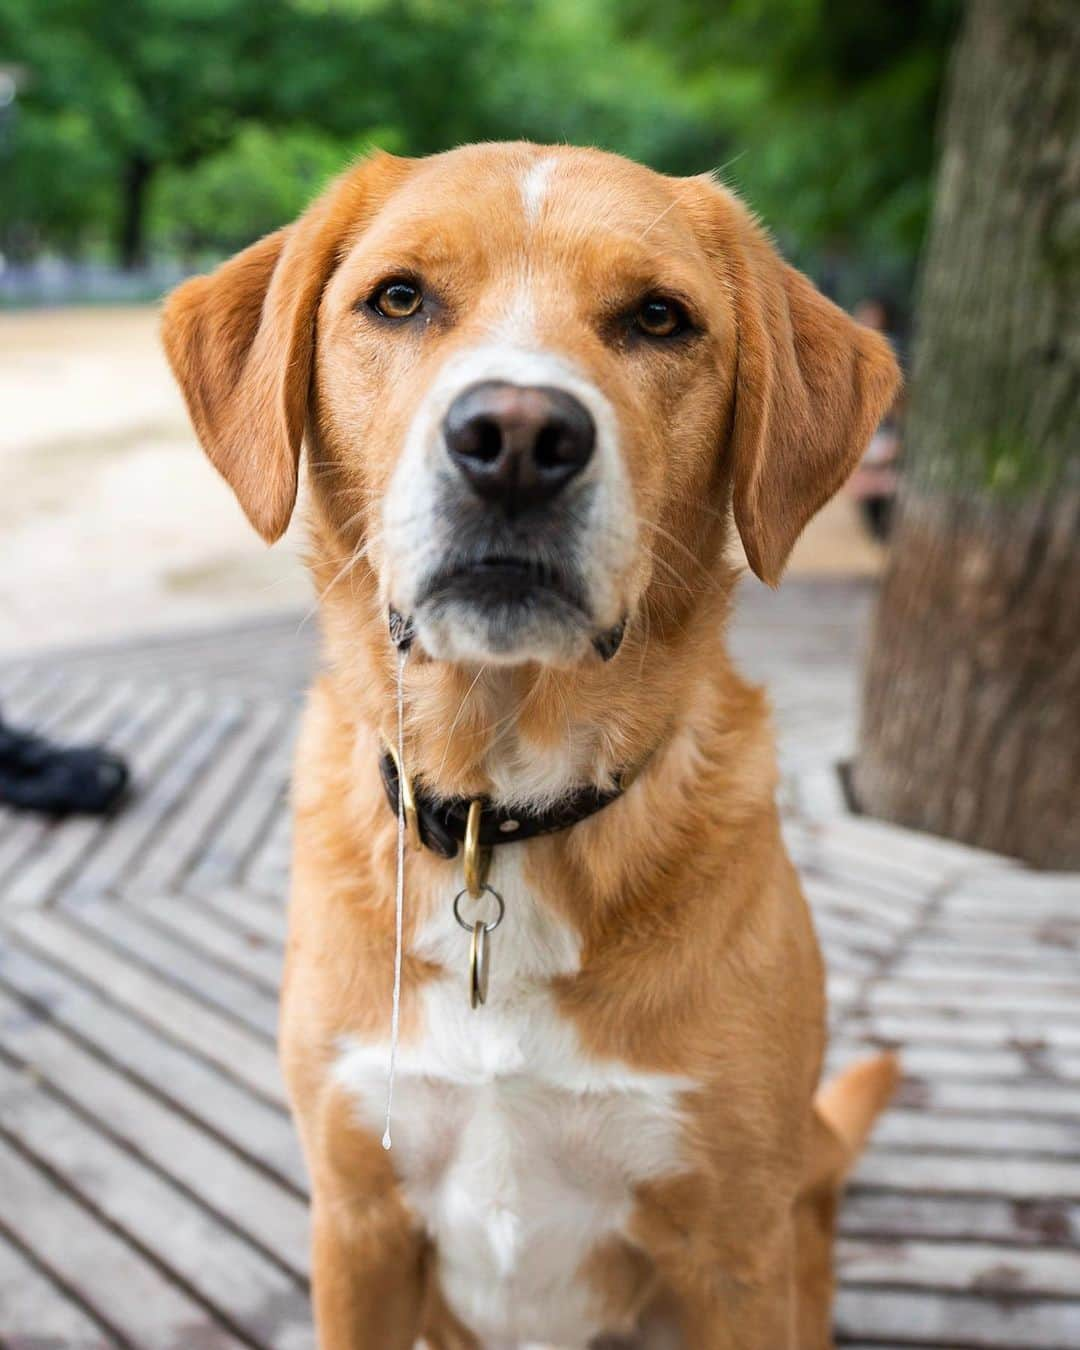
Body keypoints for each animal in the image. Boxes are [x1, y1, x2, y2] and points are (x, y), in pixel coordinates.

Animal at [162, 142, 901, 1344]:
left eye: (659, 318)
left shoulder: (735, 1252)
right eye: (400, 298)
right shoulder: (356, 1221)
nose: (515, 439)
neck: (498, 806)